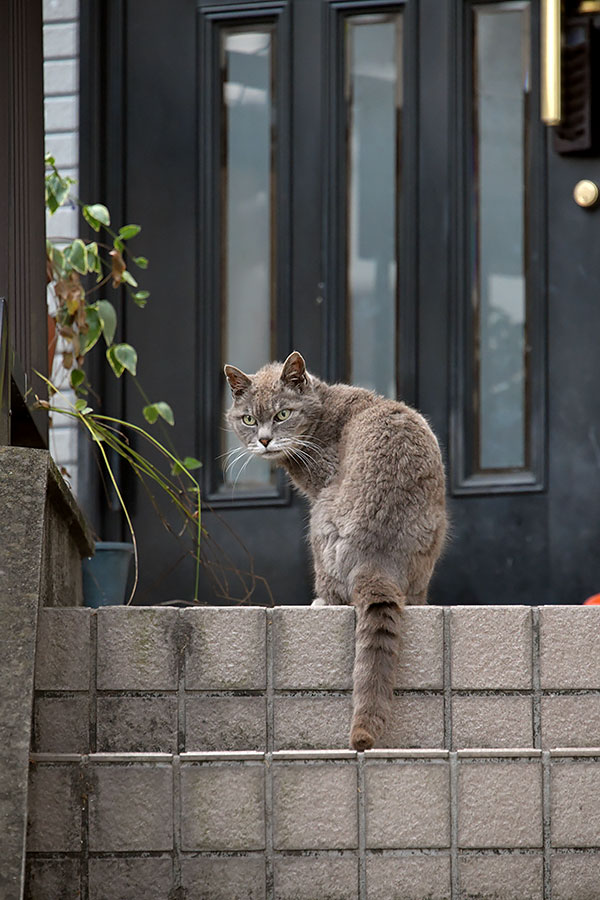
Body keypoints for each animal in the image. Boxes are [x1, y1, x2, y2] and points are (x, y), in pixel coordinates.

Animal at [224, 352, 446, 752]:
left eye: (283, 414)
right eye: (248, 418)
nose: (264, 441)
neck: (322, 414)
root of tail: (377, 560)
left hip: (320, 520)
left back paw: (319, 602)